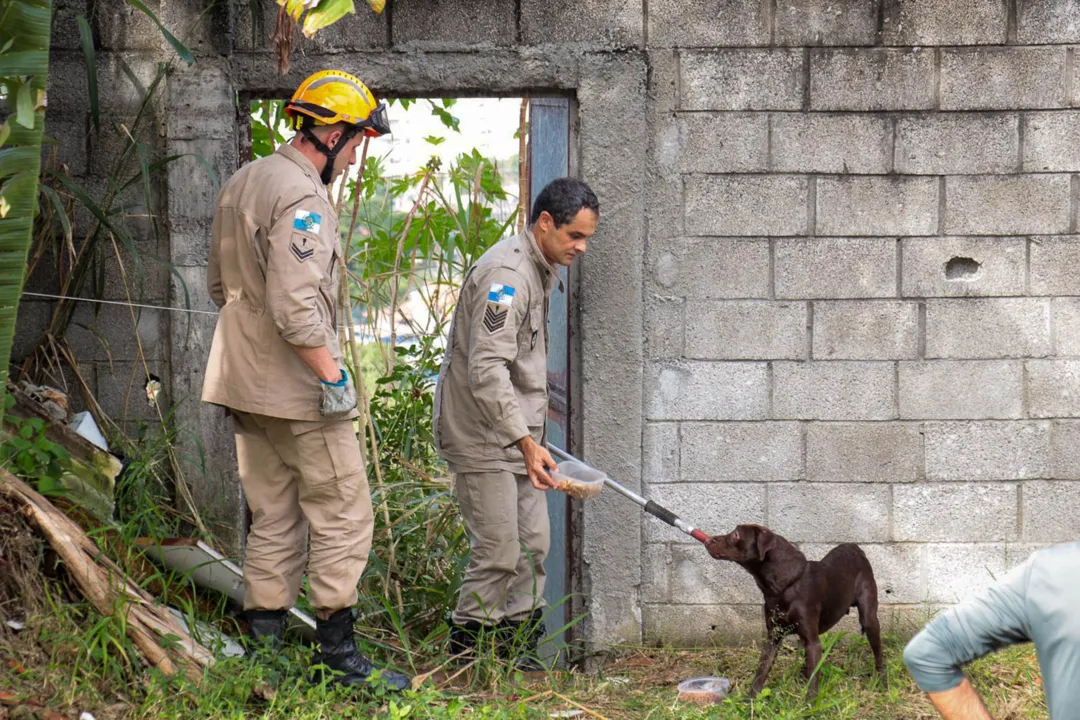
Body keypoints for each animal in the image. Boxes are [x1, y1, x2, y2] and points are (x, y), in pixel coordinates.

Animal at [704, 524, 881, 699]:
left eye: (736, 534)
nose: (708, 540)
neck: (780, 588)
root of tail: (856, 547)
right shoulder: (773, 638)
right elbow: (761, 672)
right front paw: (750, 701)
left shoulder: (813, 641)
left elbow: (813, 681)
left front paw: (810, 704)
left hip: (869, 618)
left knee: (878, 654)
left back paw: (882, 683)